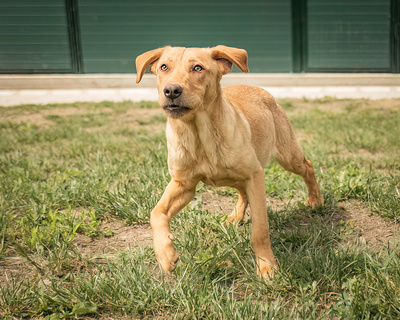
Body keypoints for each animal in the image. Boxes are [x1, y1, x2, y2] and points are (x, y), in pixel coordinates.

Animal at [136, 45, 324, 278]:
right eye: (163, 67)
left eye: (198, 68)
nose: (171, 91)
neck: (199, 135)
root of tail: (258, 89)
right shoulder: (183, 184)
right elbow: (156, 213)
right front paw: (165, 254)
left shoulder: (255, 175)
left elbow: (259, 230)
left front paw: (267, 267)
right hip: (234, 177)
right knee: (242, 192)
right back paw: (236, 216)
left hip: (288, 156)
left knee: (308, 166)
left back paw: (315, 199)